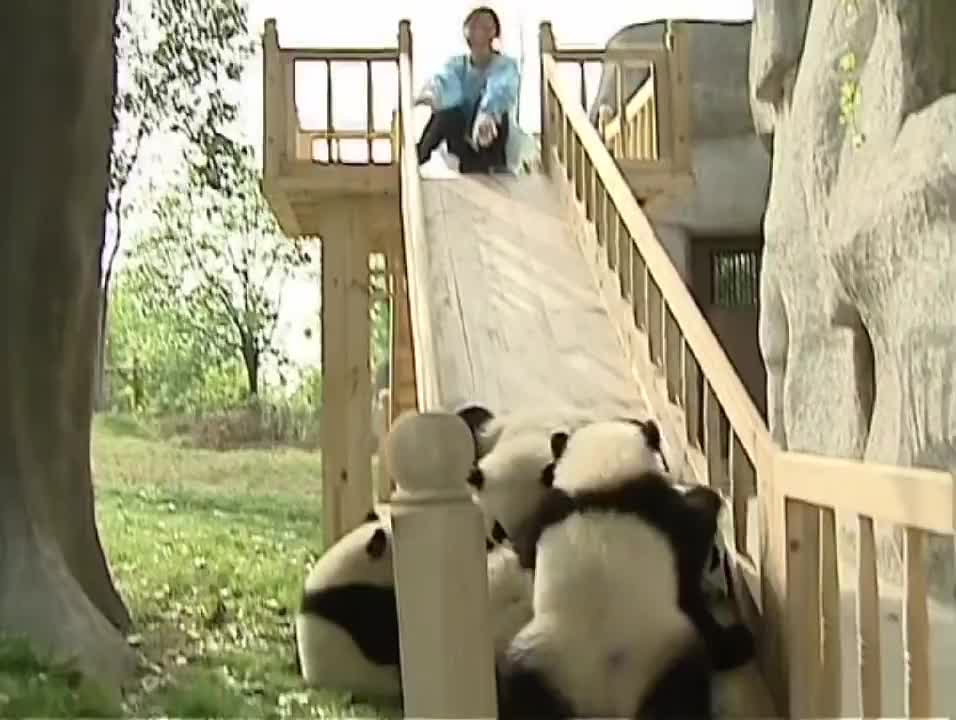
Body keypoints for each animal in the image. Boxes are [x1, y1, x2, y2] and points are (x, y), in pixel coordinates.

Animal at [496, 420, 760, 716]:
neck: (602, 481)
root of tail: (603, 702)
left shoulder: (546, 512)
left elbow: (525, 549)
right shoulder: (669, 519)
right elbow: (694, 542)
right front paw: (707, 498)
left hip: (540, 663)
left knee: (523, 693)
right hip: (660, 652)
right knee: (685, 689)